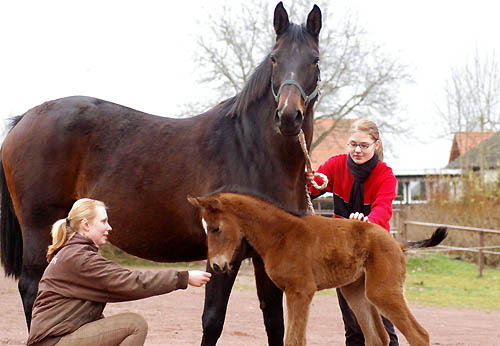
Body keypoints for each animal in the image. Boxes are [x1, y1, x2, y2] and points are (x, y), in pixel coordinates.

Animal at [0, 1, 320, 344]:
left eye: (314, 60)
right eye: (275, 58)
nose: (288, 117)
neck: (251, 150)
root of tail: (24, 118)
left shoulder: (265, 255)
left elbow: (274, 321)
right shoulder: (223, 253)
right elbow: (213, 320)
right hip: (37, 227)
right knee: (32, 288)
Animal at [189, 192, 448, 346]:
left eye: (215, 228)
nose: (216, 265)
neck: (281, 235)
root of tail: (397, 243)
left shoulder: (301, 291)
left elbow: (294, 340)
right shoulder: (293, 293)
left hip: (382, 291)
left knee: (419, 335)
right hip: (355, 292)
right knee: (377, 338)